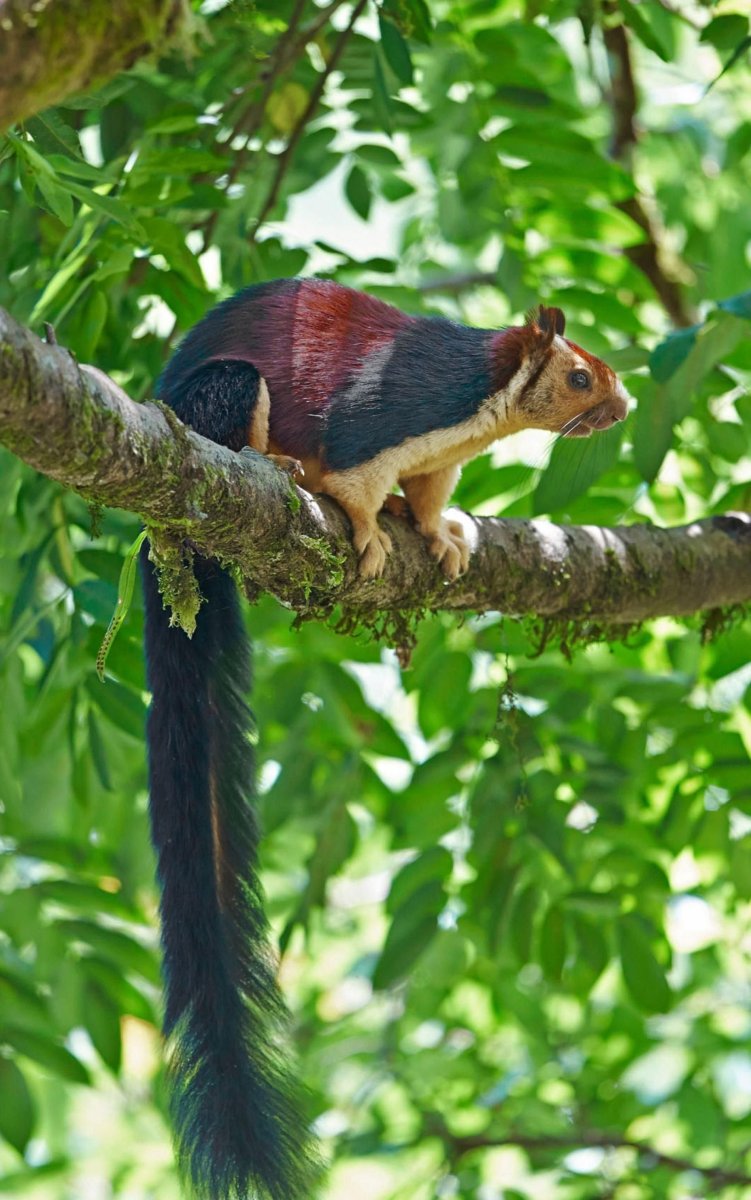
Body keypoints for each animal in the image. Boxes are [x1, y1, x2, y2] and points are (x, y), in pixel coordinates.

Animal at [140, 278, 629, 1200]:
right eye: (581, 377)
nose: (620, 409)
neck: (481, 404)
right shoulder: (382, 422)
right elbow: (355, 482)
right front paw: (368, 534)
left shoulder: (438, 458)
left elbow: (431, 495)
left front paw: (438, 535)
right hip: (222, 395)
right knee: (246, 427)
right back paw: (277, 468)